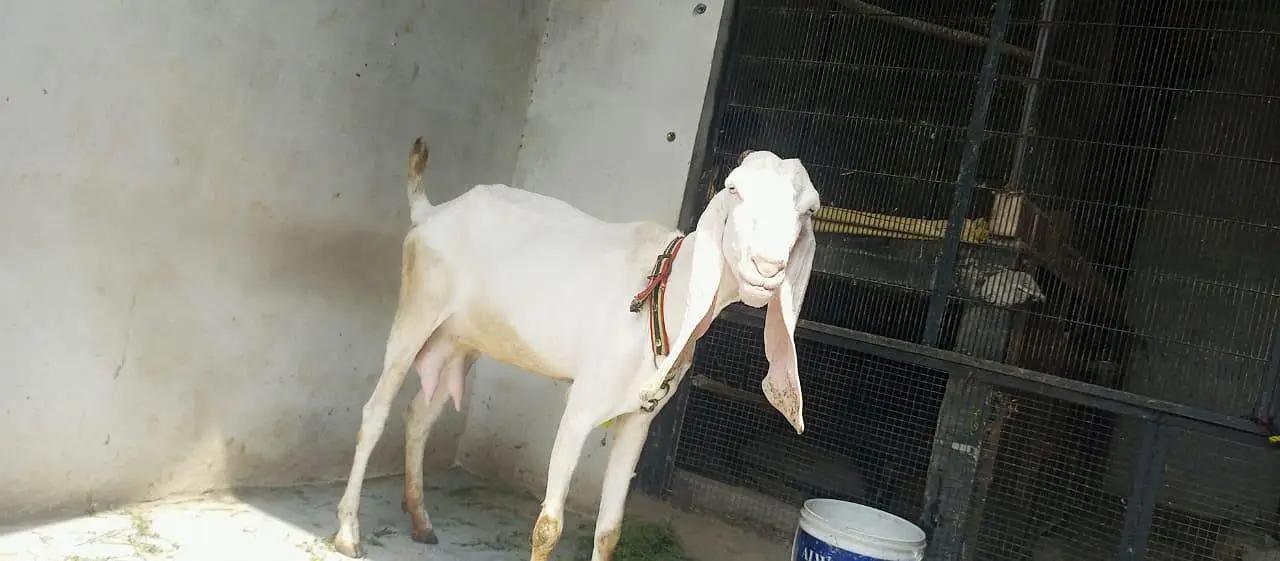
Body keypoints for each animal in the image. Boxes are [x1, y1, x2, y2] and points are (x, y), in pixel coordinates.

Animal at [332, 136, 821, 561]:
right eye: (735, 189)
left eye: (808, 210)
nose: (767, 268)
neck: (662, 296)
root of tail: (431, 213)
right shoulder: (581, 408)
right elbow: (548, 526)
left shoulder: (639, 420)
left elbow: (609, 531)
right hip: (417, 311)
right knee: (374, 414)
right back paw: (347, 532)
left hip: (460, 341)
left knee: (419, 415)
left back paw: (420, 518)